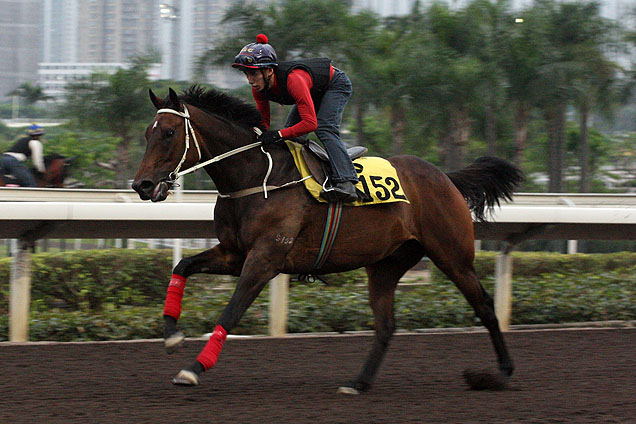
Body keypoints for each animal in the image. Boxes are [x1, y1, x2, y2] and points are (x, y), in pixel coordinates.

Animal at [132, 86, 524, 394]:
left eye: (169, 133)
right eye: (148, 133)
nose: (142, 185)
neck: (256, 177)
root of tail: (446, 177)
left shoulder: (265, 259)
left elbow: (231, 311)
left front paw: (193, 369)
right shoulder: (234, 254)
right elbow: (182, 266)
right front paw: (171, 334)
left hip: (451, 254)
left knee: (484, 305)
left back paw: (501, 372)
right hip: (387, 263)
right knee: (386, 325)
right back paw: (358, 383)